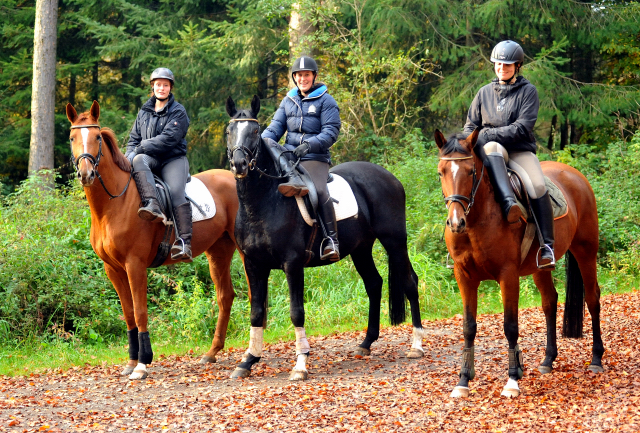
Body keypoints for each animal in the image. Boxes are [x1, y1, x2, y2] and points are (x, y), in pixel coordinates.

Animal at [66, 100, 242, 378]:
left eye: (97, 137)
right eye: (72, 137)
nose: (86, 173)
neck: (114, 204)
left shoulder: (135, 265)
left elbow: (140, 312)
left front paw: (142, 363)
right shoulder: (113, 269)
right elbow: (128, 313)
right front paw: (130, 361)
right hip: (219, 251)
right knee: (225, 296)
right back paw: (212, 352)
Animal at [225, 96, 424, 380]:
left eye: (254, 131)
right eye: (229, 131)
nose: (239, 164)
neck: (263, 202)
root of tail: (390, 177)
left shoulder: (293, 265)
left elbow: (296, 312)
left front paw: (300, 364)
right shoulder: (254, 265)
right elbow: (256, 312)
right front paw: (248, 361)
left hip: (395, 242)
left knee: (410, 282)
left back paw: (416, 345)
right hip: (361, 249)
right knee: (374, 284)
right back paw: (366, 343)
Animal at [436, 130, 604, 396]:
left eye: (471, 171)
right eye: (441, 172)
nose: (455, 222)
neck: (477, 220)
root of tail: (574, 173)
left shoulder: (508, 275)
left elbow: (510, 326)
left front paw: (513, 380)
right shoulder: (464, 277)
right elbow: (468, 327)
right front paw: (463, 381)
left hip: (586, 251)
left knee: (592, 298)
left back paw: (596, 359)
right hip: (540, 267)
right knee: (549, 302)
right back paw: (548, 360)